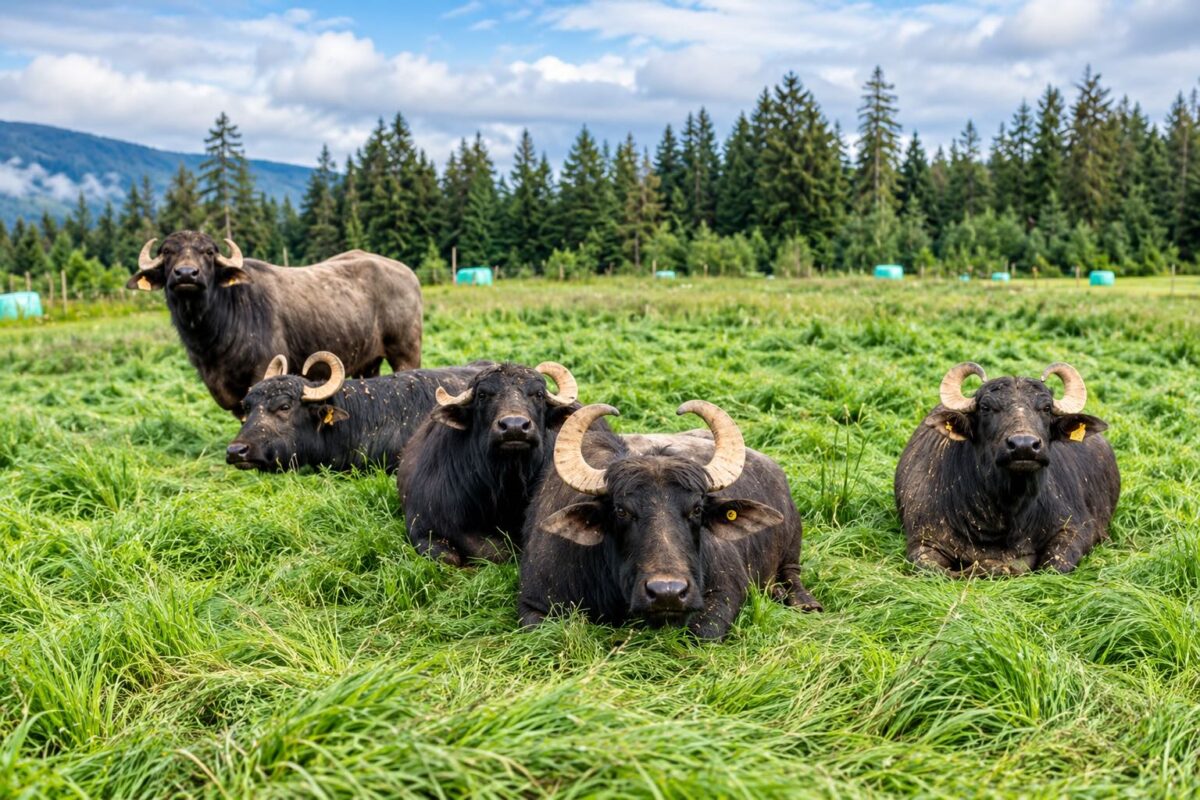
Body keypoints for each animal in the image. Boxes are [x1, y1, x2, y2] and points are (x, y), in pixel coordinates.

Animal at [127, 231, 422, 414]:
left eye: (208, 252)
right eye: (167, 252)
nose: (187, 274)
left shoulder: (264, 368)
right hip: (368, 361)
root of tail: (408, 274)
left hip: (406, 351)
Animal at [519, 401, 821, 640]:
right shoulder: (534, 602)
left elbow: (702, 632)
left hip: (792, 541)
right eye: (621, 511)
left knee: (792, 572)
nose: (667, 592)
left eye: (697, 509)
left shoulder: (726, 589)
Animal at [894, 362, 1120, 576]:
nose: (1024, 445)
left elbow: (1054, 566)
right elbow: (935, 570)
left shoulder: (1075, 530)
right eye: (985, 407)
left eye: (1046, 408)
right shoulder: (924, 541)